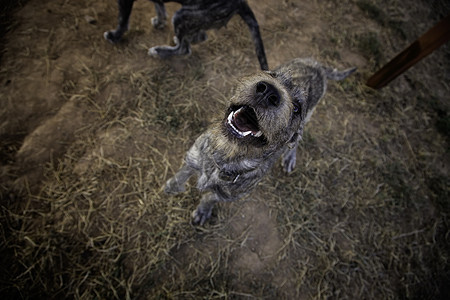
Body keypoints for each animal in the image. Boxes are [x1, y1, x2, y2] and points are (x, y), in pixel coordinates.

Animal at [103, 0, 268, 70]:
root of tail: (241, 3)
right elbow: (159, 7)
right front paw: (159, 22)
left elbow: (122, 20)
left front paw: (114, 36)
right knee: (198, 37)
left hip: (182, 15)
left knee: (184, 49)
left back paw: (159, 51)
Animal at [163, 56, 356, 225]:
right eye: (272, 75)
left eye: (297, 108)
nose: (269, 91)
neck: (225, 155)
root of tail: (317, 65)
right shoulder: (194, 156)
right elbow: (182, 173)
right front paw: (170, 187)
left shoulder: (227, 195)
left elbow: (210, 197)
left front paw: (203, 211)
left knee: (297, 140)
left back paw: (290, 157)